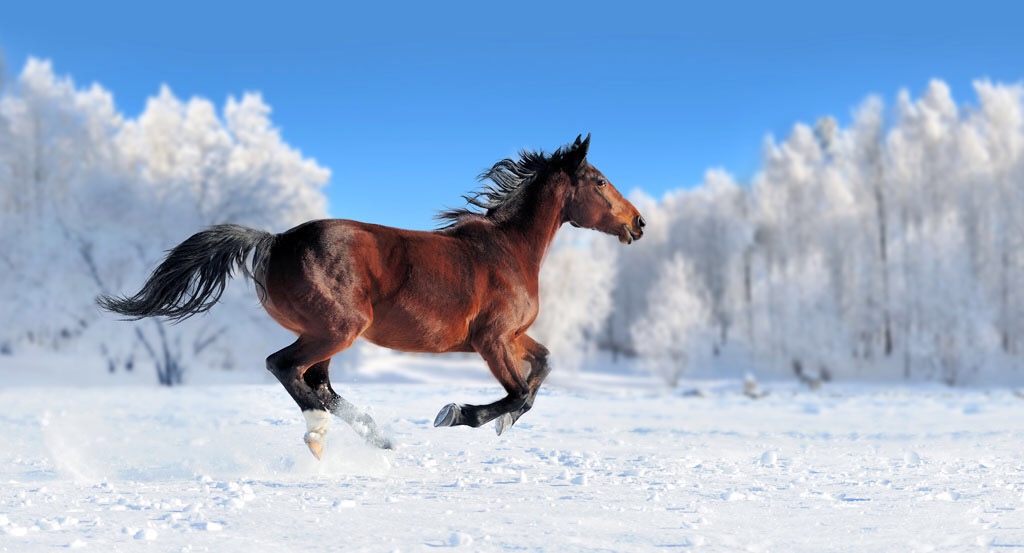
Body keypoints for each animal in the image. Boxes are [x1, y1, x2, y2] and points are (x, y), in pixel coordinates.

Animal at [99, 136, 643, 460]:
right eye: (599, 180)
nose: (638, 223)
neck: (508, 249)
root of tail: (275, 241)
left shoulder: (512, 335)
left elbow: (542, 368)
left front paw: (497, 423)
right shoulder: (491, 339)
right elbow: (521, 394)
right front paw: (458, 414)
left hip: (324, 333)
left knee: (316, 382)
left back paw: (375, 436)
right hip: (337, 329)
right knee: (286, 368)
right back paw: (323, 434)